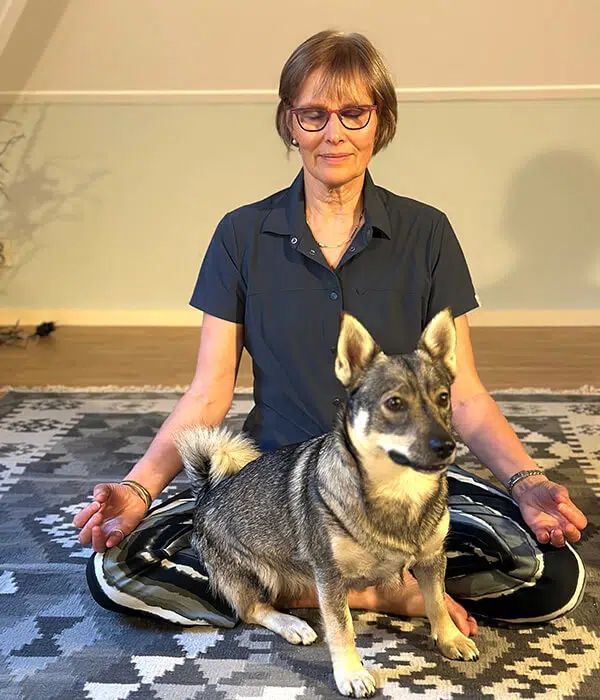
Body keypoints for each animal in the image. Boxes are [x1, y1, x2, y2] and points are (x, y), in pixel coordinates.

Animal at [175, 308, 480, 697]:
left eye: (443, 398)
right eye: (394, 403)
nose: (446, 446)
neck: (399, 491)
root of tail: (207, 492)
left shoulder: (431, 559)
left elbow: (437, 602)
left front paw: (449, 638)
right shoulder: (329, 575)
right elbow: (341, 627)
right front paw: (351, 674)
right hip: (249, 575)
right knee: (253, 610)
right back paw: (293, 625)